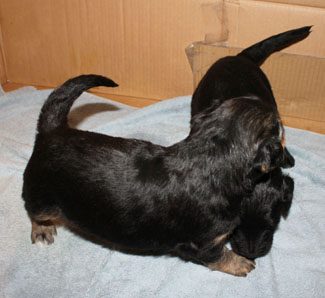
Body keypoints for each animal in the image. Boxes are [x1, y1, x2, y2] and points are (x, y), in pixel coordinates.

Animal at [21, 74, 288, 278]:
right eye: (278, 126)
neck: (210, 156)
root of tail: (52, 131)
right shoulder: (205, 242)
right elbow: (219, 256)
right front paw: (241, 263)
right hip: (41, 192)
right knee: (34, 211)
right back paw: (42, 230)